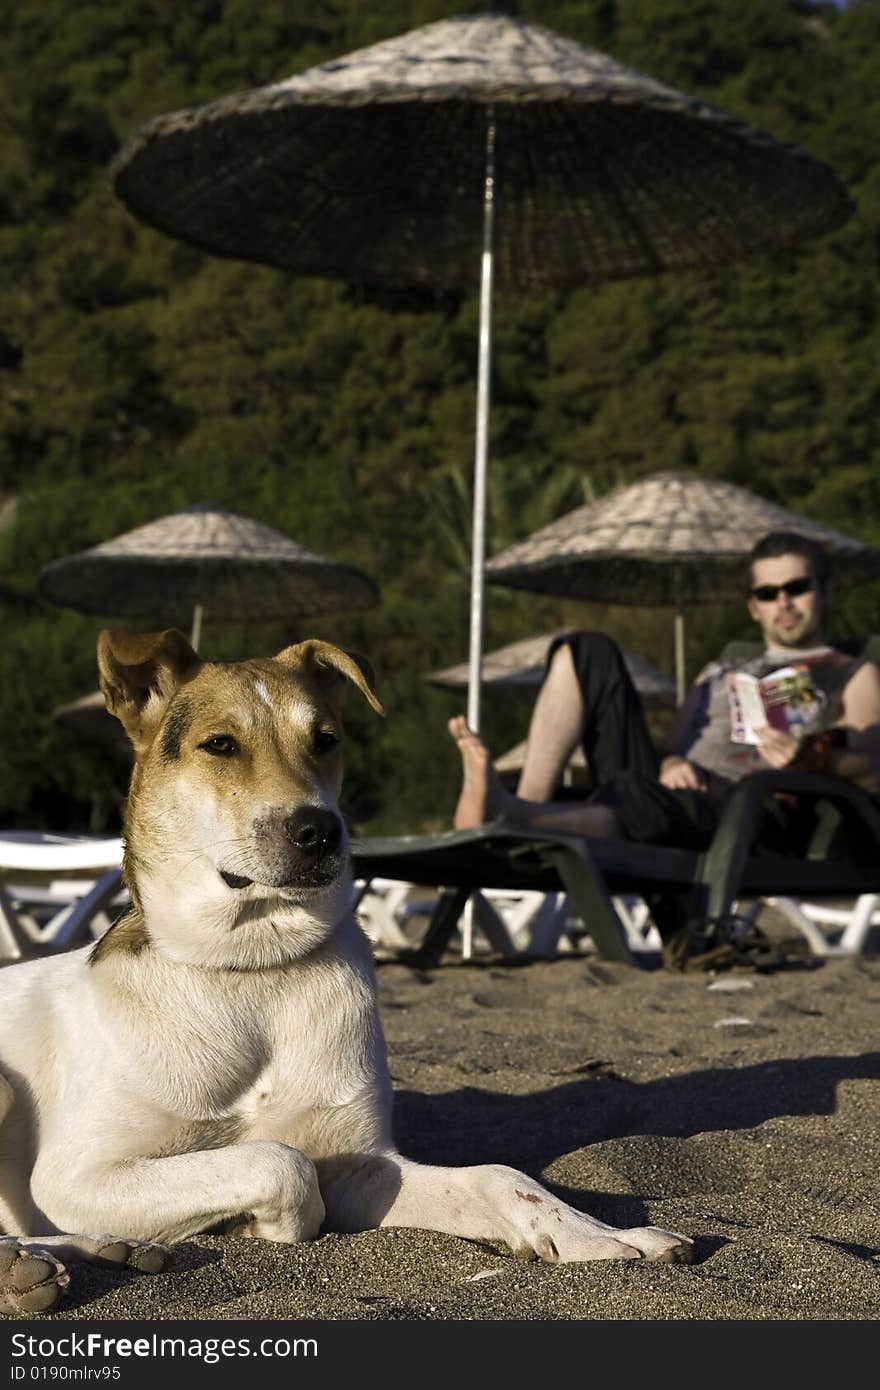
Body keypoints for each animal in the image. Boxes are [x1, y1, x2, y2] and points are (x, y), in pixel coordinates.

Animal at [0, 631, 689, 1312]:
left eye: (326, 739)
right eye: (219, 744)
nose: (319, 832)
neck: (251, 971)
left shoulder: (362, 1165)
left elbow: (500, 1177)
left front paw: (605, 1235)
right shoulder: (75, 1176)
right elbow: (279, 1162)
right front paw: (255, 1223)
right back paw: (31, 1266)